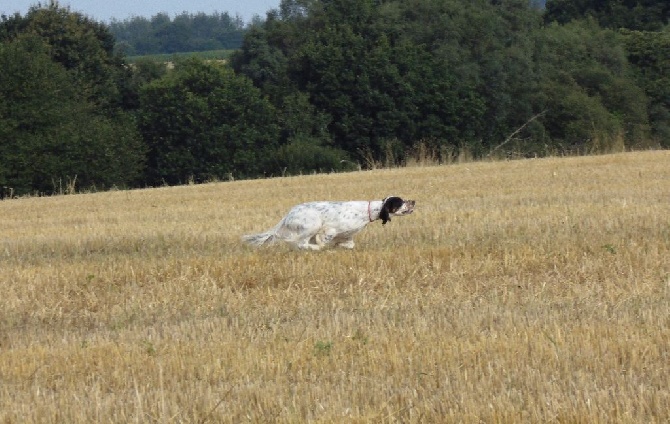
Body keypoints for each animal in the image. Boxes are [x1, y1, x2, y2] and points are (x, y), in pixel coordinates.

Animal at [244, 197, 418, 250]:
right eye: (401, 201)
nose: (413, 201)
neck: (367, 211)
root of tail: (288, 214)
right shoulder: (330, 229)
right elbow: (325, 240)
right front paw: (326, 246)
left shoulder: (347, 236)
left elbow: (349, 244)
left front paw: (338, 246)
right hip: (312, 224)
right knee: (302, 243)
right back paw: (315, 248)